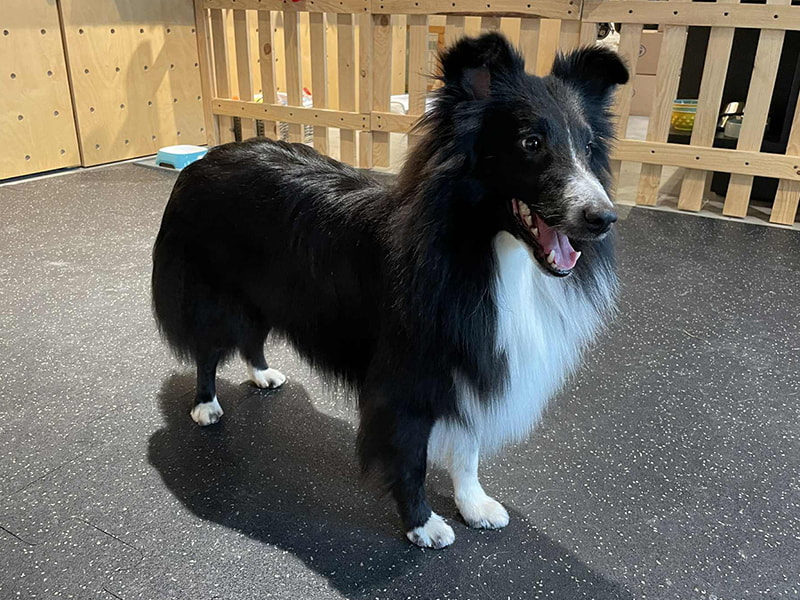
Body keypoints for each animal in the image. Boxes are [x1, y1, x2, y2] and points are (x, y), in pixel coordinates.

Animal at [152, 33, 628, 548]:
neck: (486, 252)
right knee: (207, 350)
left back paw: (263, 374)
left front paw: (473, 504)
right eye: (531, 143)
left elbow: (468, 450)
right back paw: (205, 405)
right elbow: (411, 457)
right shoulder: (408, 380)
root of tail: (202, 161)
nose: (603, 219)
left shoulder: (468, 363)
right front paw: (422, 525)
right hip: (211, 294)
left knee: (252, 339)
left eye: (589, 145)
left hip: (264, 292)